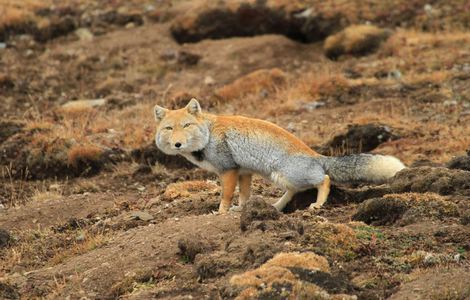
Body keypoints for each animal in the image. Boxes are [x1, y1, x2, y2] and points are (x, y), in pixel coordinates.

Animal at [152, 98, 406, 213]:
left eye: (186, 126)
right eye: (169, 129)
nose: (177, 143)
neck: (209, 133)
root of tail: (316, 155)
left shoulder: (228, 170)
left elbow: (226, 196)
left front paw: (221, 212)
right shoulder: (244, 172)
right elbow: (244, 196)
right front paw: (242, 210)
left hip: (289, 175)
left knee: (324, 179)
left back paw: (317, 204)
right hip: (279, 178)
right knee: (294, 192)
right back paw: (276, 206)